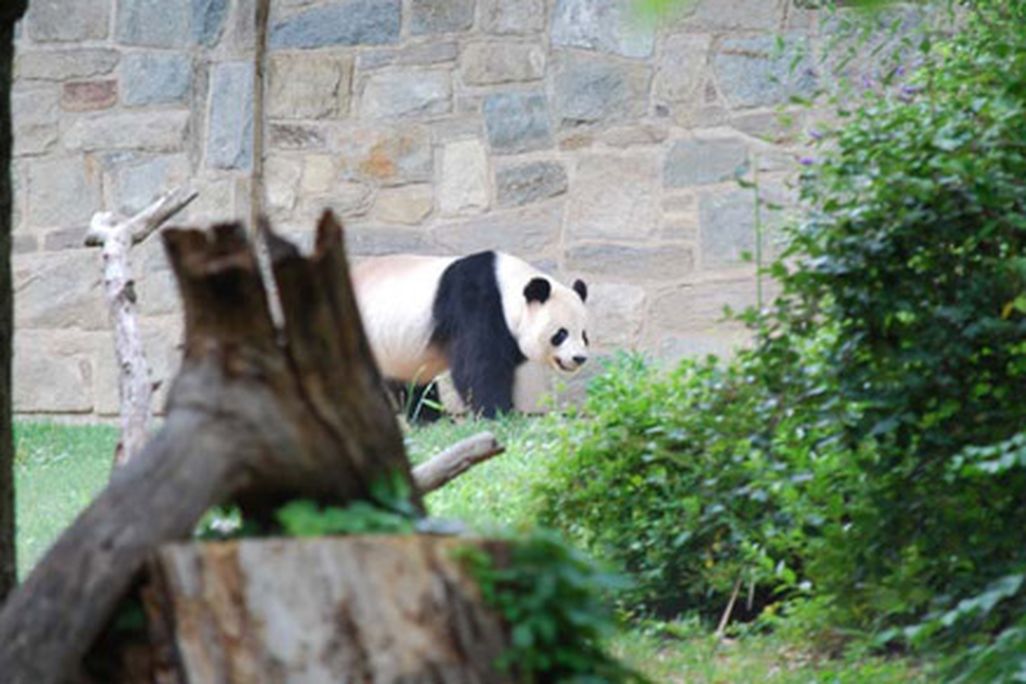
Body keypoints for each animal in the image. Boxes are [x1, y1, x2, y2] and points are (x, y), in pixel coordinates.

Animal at [352, 250, 590, 420]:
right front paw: (498, 413)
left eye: (584, 335)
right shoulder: (474, 304)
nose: (579, 358)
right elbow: (477, 366)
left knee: (412, 383)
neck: (506, 287)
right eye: (561, 334)